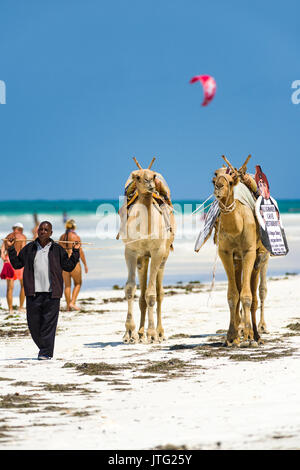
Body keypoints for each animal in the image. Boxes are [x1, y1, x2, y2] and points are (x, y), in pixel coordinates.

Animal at [119, 156, 175, 344]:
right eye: (137, 177)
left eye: (154, 175)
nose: (151, 184)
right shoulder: (130, 251)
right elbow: (130, 289)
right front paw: (129, 332)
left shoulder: (157, 252)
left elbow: (151, 294)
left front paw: (152, 333)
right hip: (142, 259)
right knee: (142, 292)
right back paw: (141, 332)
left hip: (163, 257)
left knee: (159, 293)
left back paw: (159, 332)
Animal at [213, 156, 270, 344]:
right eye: (213, 179)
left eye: (230, 182)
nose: (219, 186)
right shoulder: (225, 253)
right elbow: (233, 295)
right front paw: (231, 337)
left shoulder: (249, 251)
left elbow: (246, 295)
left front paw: (249, 335)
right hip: (238, 260)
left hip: (262, 255)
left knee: (258, 291)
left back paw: (258, 331)